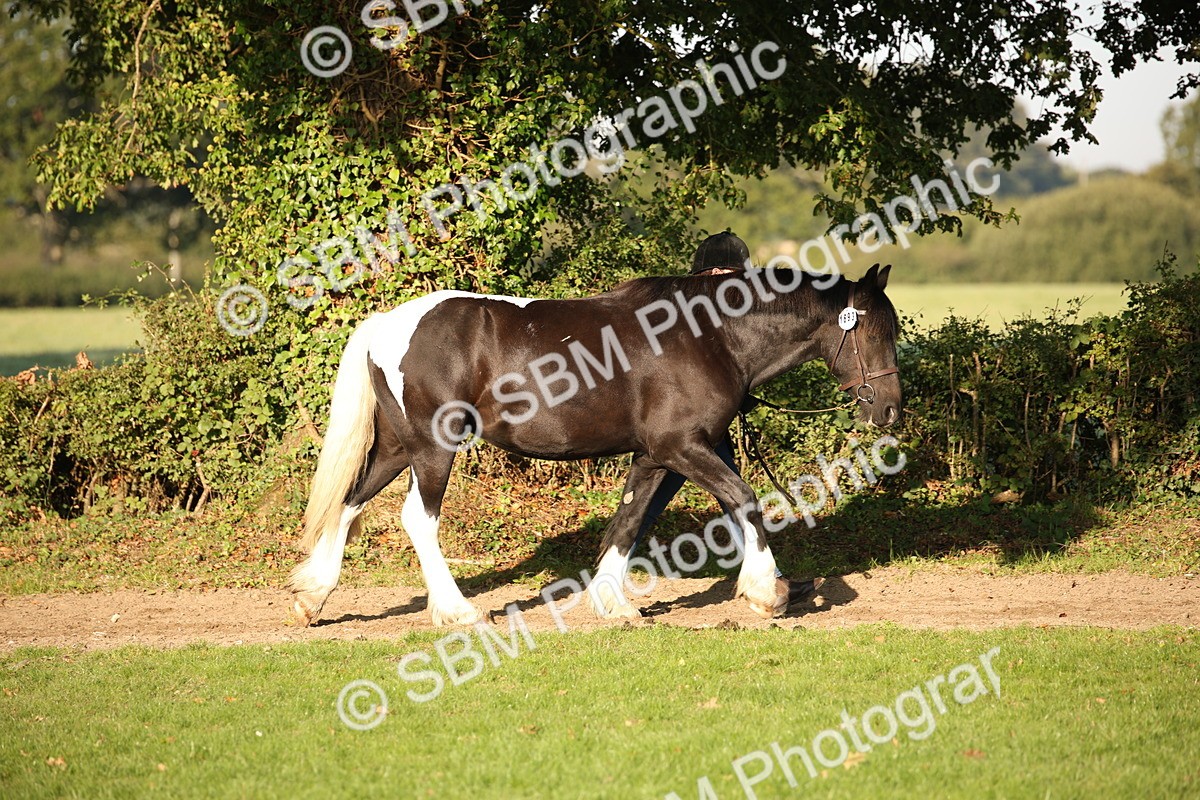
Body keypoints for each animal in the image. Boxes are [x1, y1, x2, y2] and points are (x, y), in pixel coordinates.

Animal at [288, 263, 902, 626]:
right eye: (874, 331)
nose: (892, 408)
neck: (710, 335)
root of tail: (388, 322)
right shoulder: (682, 447)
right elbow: (743, 499)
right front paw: (765, 592)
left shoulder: (657, 455)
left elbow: (630, 520)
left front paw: (612, 600)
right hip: (434, 449)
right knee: (417, 519)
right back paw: (458, 611)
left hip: (397, 447)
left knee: (350, 502)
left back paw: (313, 596)